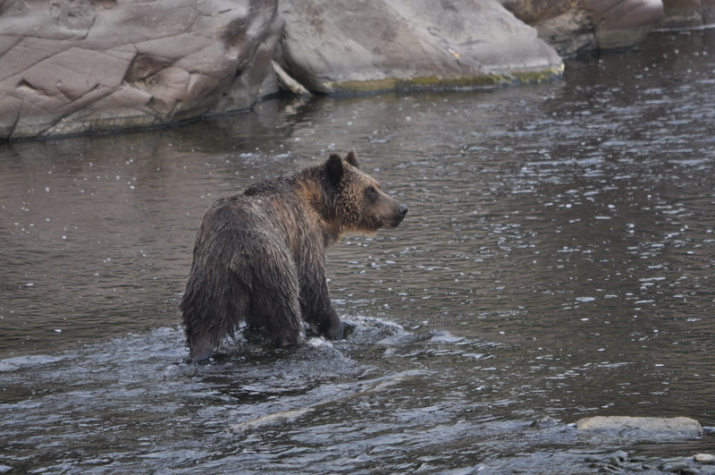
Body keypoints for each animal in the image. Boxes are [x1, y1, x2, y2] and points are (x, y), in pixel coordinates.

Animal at [182, 151, 412, 362]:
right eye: (370, 190)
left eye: (377, 185)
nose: (401, 209)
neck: (321, 210)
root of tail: (236, 255)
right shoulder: (304, 236)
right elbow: (313, 286)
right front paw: (336, 326)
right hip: (273, 271)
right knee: (286, 316)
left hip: (209, 281)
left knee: (203, 327)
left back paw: (200, 353)